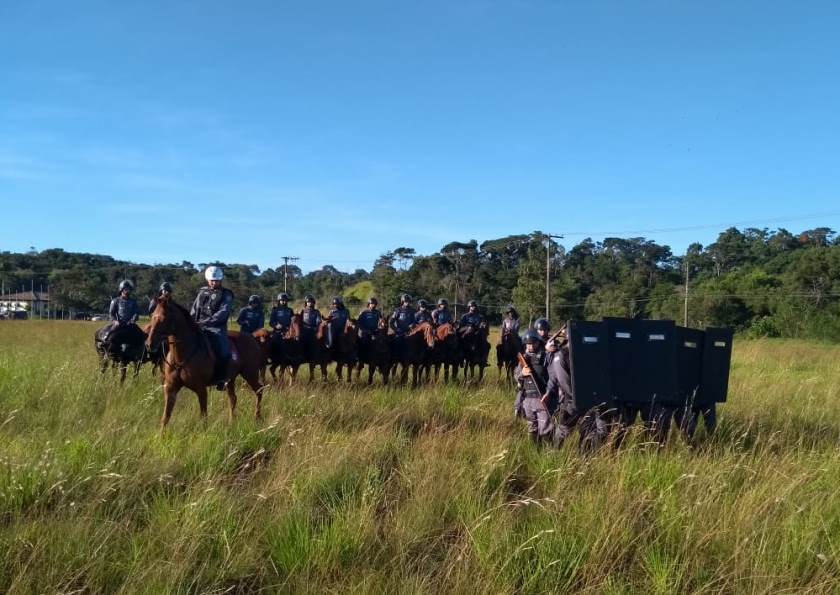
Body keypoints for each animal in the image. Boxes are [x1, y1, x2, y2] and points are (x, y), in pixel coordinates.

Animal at [146, 296, 266, 428]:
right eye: (152, 316)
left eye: (164, 318)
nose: (149, 344)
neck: (182, 356)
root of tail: (252, 338)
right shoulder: (170, 389)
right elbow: (165, 417)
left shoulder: (201, 390)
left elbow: (203, 416)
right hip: (230, 380)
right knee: (233, 398)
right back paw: (232, 421)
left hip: (250, 374)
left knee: (259, 390)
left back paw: (257, 418)